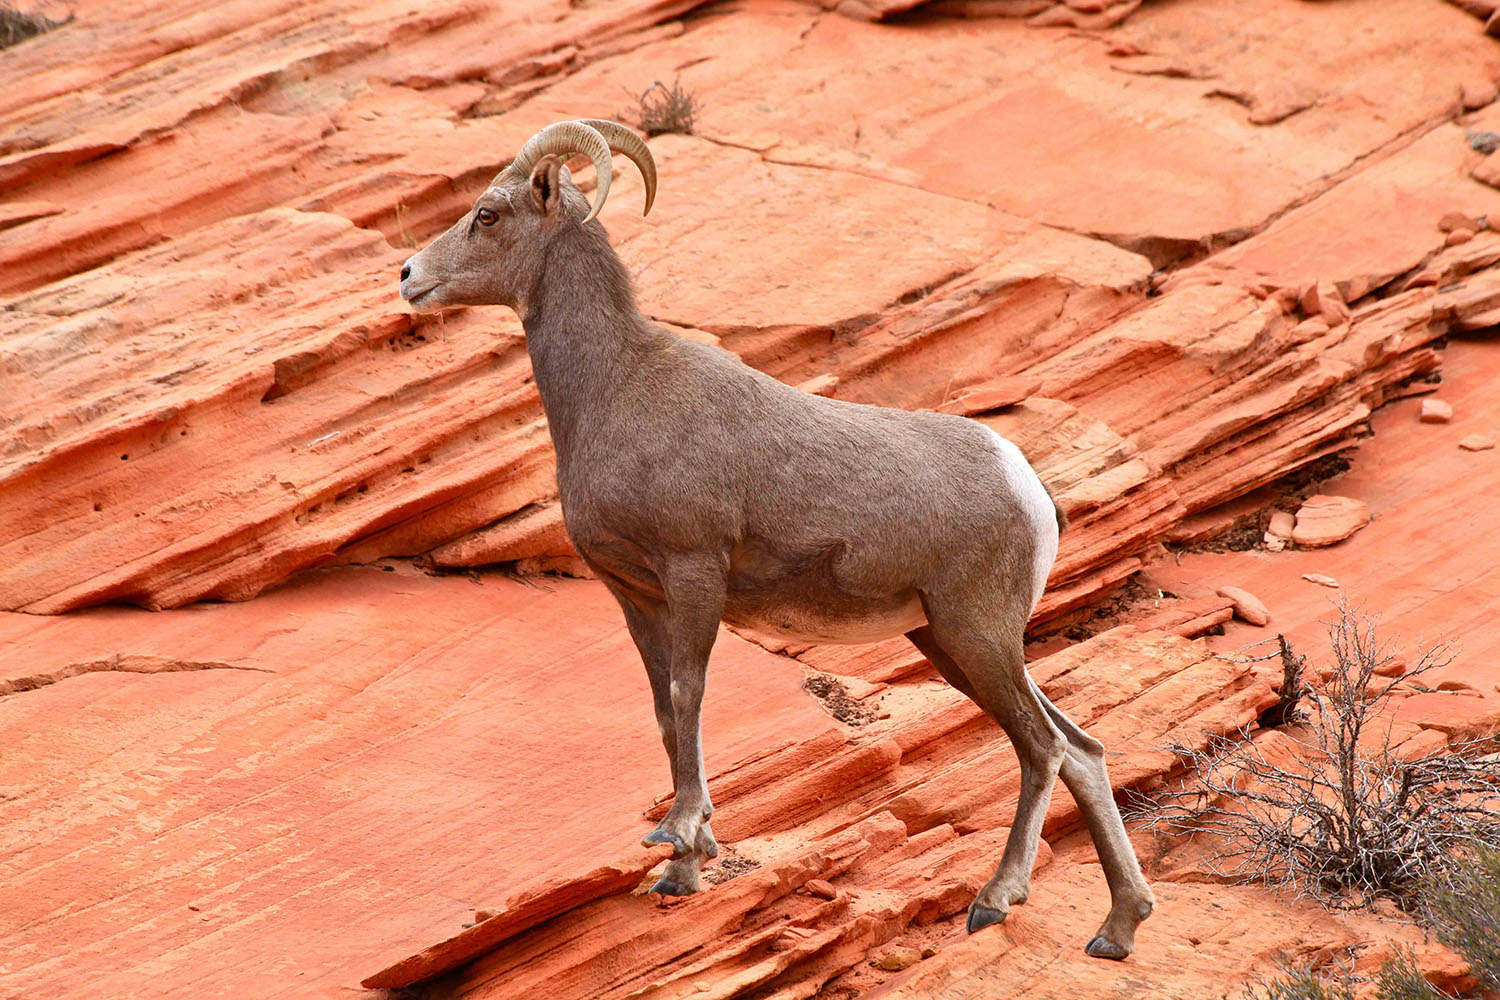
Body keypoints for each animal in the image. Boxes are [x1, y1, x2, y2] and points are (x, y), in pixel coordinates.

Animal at [396, 121, 1146, 959]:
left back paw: (995, 901)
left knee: (1044, 749)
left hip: (975, 634)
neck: (613, 388)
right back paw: (1116, 932)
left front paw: (682, 840)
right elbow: (664, 714)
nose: (408, 276)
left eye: (488, 215)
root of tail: (1028, 485)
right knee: (1081, 751)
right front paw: (681, 874)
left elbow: (688, 697)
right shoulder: (635, 594)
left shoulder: (693, 573)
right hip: (947, 642)